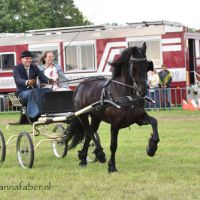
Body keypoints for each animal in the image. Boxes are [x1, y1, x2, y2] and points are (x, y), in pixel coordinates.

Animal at [66, 43, 160, 173]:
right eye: (134, 67)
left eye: (147, 65)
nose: (142, 91)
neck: (126, 95)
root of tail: (80, 86)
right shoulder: (115, 125)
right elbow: (113, 145)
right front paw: (112, 166)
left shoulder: (139, 119)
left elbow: (154, 122)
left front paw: (151, 148)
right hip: (83, 115)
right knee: (89, 132)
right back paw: (99, 154)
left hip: (96, 117)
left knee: (90, 133)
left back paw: (83, 159)